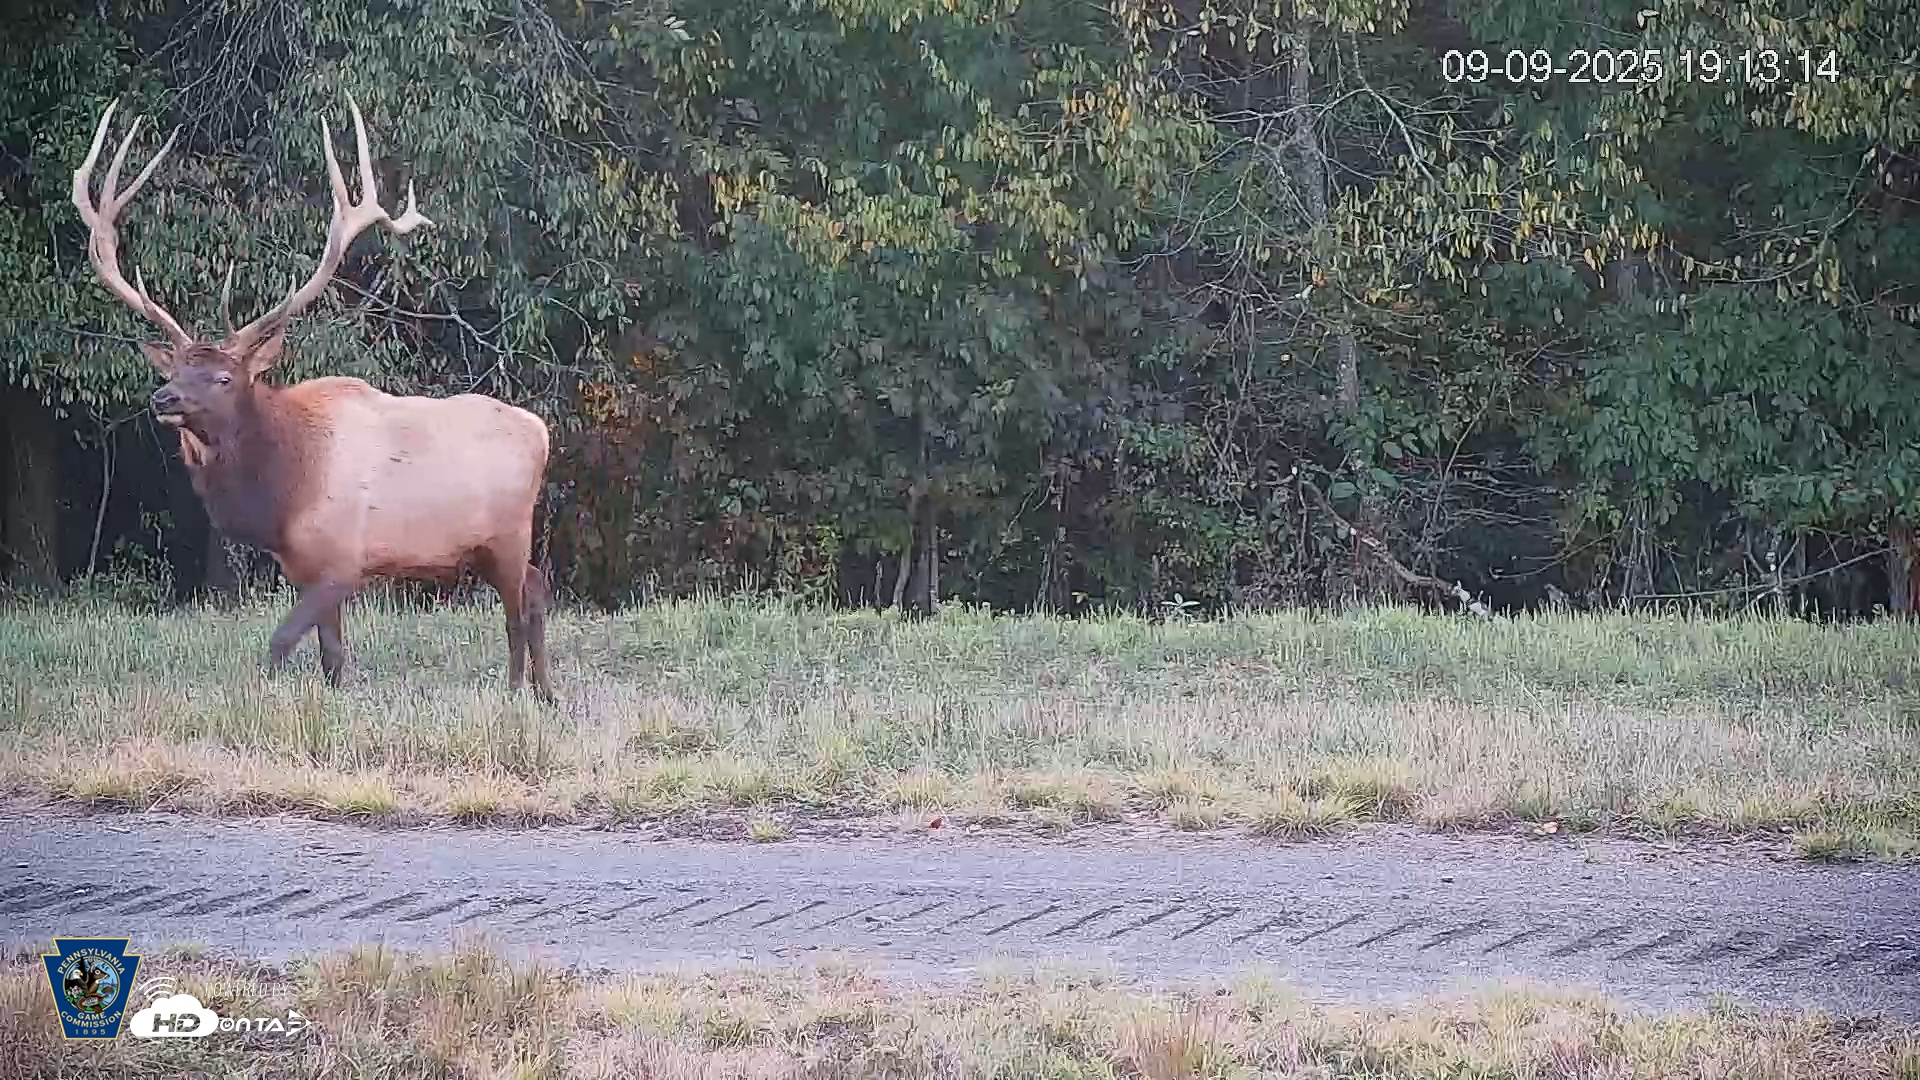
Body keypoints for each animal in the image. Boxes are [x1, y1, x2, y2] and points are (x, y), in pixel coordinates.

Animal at [71, 95, 556, 703]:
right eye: (178, 368)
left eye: (224, 377)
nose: (164, 398)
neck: (283, 493)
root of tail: (541, 431)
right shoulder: (302, 567)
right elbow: (332, 658)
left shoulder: (344, 561)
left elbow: (280, 643)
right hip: (488, 545)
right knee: (534, 591)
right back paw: (544, 693)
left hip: (509, 531)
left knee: (520, 604)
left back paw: (518, 690)